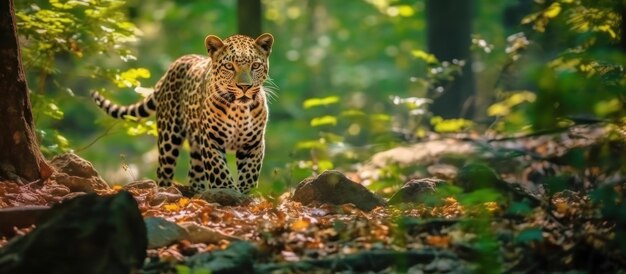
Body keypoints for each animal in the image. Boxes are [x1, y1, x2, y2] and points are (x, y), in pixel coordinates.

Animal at [91, 33, 272, 194]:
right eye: (229, 66)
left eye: (255, 66)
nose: (245, 87)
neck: (238, 110)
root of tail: (173, 66)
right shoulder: (211, 139)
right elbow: (219, 170)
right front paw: (228, 191)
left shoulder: (254, 142)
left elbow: (250, 171)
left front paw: (245, 193)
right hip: (169, 138)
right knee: (163, 172)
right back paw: (165, 191)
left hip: (195, 142)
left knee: (194, 172)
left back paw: (198, 191)